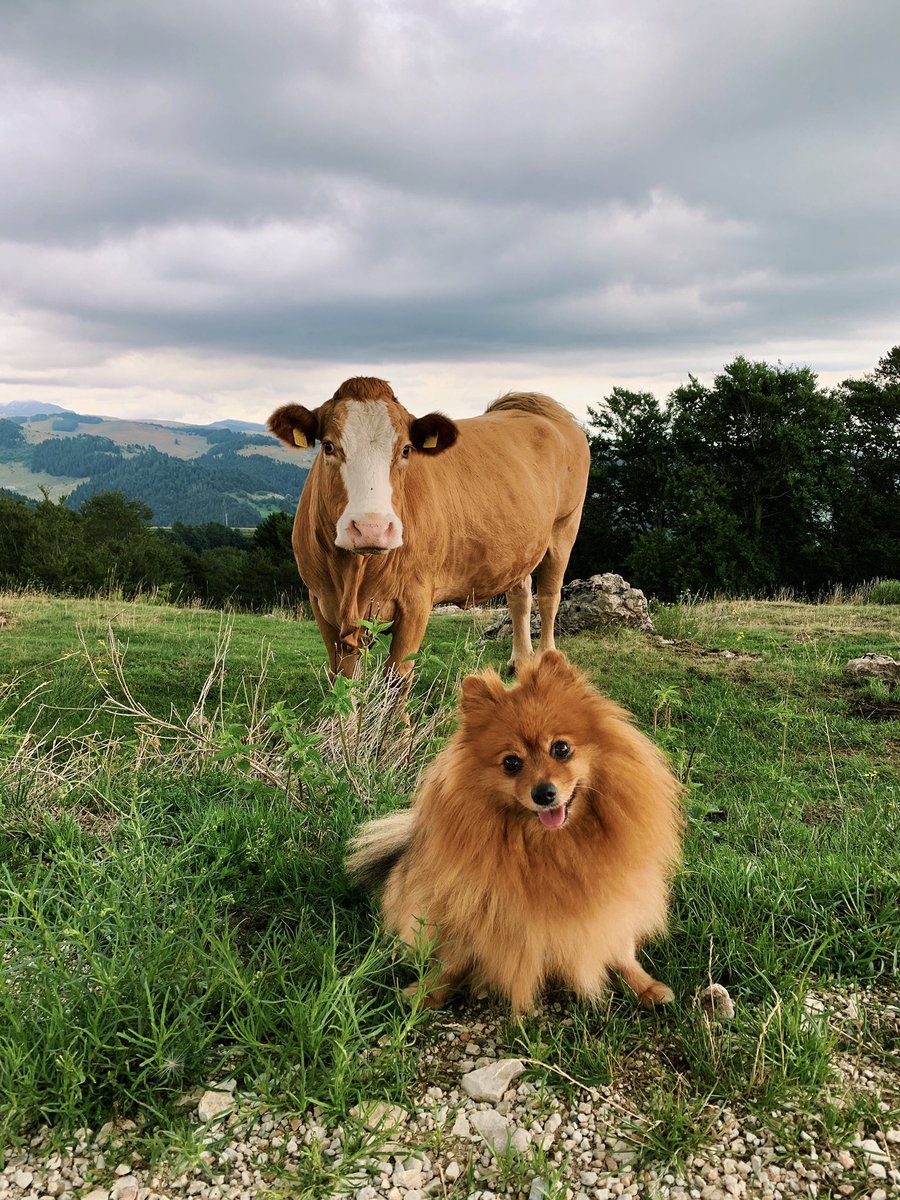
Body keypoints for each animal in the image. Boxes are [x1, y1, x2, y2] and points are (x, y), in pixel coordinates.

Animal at [268, 376, 590, 684]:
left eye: (406, 449)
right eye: (328, 446)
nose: (371, 529)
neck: (355, 573)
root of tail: (535, 406)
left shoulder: (416, 600)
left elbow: (396, 679)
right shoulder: (321, 600)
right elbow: (343, 681)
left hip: (565, 527)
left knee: (549, 596)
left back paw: (546, 660)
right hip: (519, 544)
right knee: (520, 593)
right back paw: (521, 661)